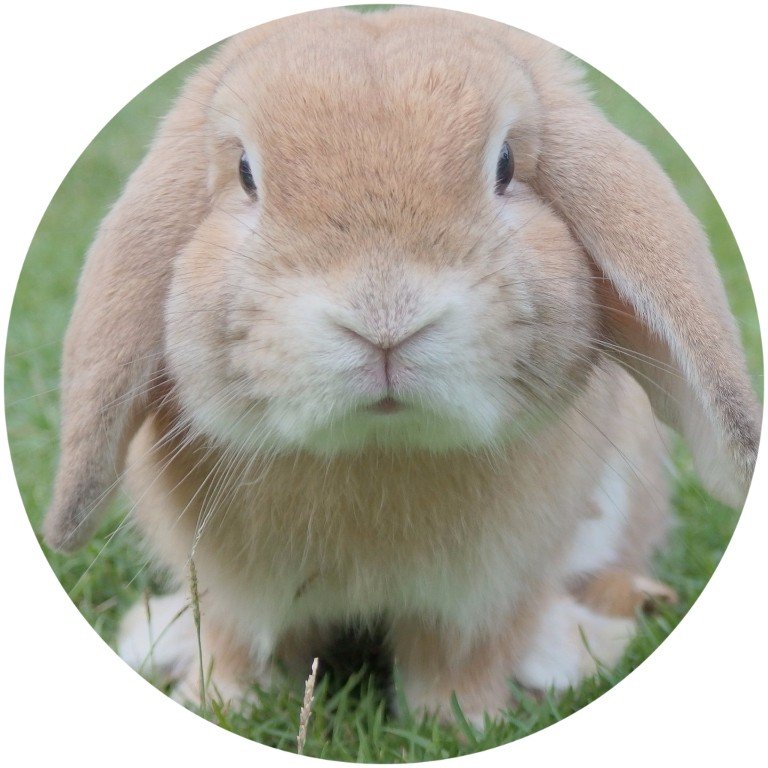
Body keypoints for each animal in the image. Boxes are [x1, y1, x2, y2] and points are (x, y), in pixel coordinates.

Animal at [43, 6, 760, 723]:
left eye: (505, 165)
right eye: (246, 173)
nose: (384, 319)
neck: (377, 448)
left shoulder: (483, 596)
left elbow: (457, 660)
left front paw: (463, 722)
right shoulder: (231, 593)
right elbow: (234, 643)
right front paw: (220, 704)